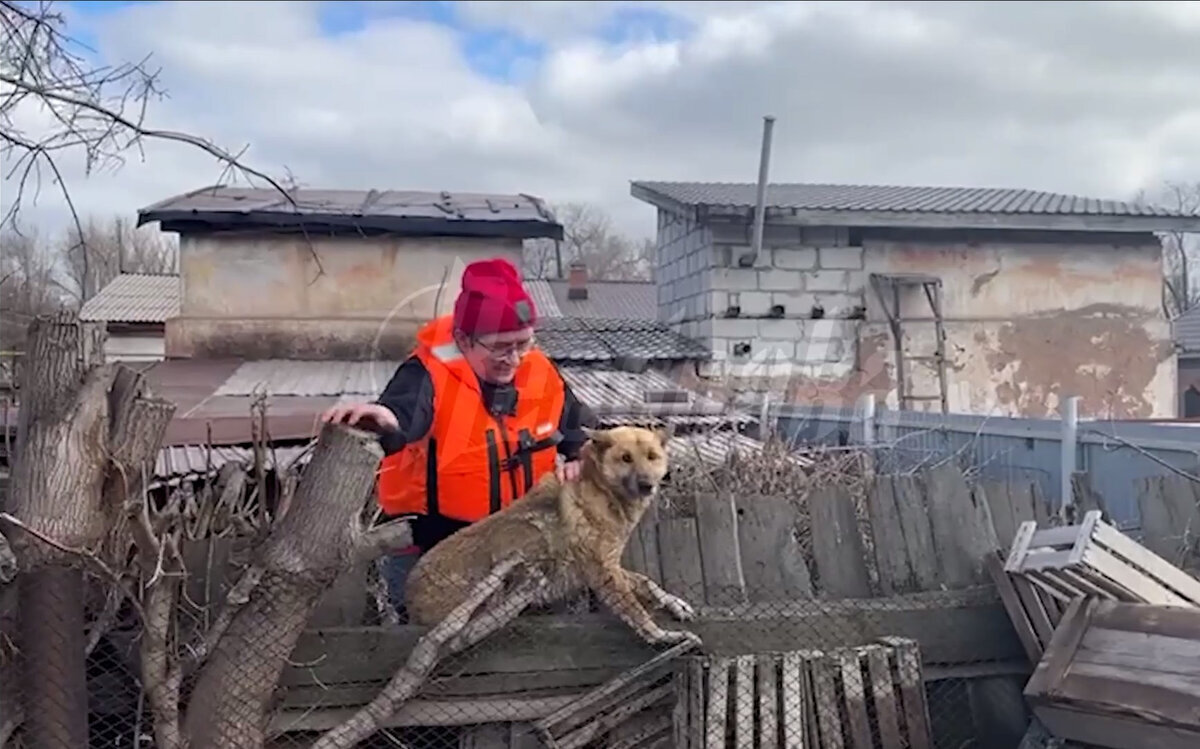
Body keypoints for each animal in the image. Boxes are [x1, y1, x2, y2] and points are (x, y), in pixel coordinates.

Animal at [405, 424, 700, 648]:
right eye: (626, 458)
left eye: (652, 456)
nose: (647, 485)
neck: (601, 491)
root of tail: (409, 596)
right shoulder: (604, 573)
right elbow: (636, 611)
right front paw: (663, 636)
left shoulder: (607, 567)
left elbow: (646, 581)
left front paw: (675, 604)